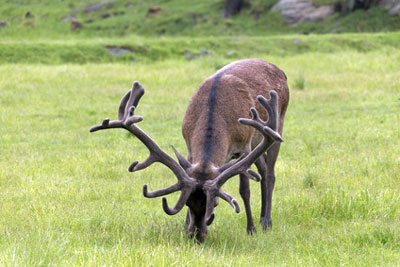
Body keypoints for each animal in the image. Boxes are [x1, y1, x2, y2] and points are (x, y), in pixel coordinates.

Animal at [91, 58, 290, 243]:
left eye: (215, 203)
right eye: (187, 202)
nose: (196, 235)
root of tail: (280, 70)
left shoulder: (244, 147)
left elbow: (244, 190)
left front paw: (251, 229)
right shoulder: (189, 147)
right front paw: (184, 226)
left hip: (276, 127)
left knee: (270, 173)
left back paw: (266, 222)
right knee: (262, 170)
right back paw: (263, 217)